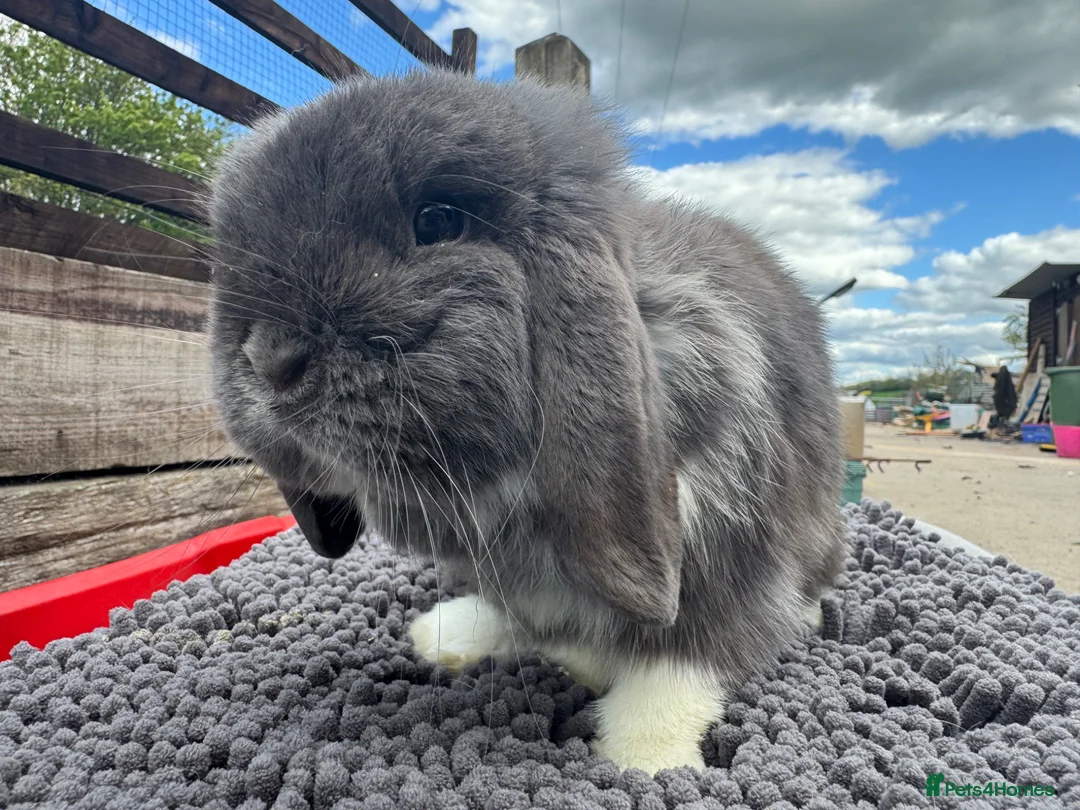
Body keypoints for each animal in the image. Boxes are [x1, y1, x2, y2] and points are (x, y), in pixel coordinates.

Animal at [206, 69, 846, 775]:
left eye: (437, 220)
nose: (270, 359)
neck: (505, 491)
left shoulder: (734, 554)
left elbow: (682, 660)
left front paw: (643, 760)